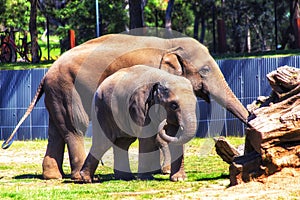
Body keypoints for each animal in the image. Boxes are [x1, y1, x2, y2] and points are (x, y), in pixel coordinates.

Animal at [2, 32, 248, 180]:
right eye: (205, 71)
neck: (169, 46)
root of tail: (45, 74)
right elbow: (156, 128)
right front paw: (162, 171)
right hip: (67, 88)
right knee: (75, 128)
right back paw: (81, 176)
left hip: (56, 93)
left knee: (56, 130)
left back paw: (53, 176)